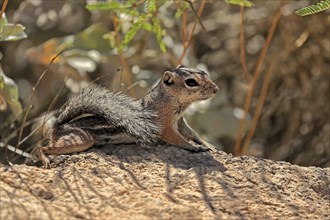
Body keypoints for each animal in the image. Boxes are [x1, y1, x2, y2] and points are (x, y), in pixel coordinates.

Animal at [38, 64, 219, 168]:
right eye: (191, 82)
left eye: (204, 72)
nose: (216, 89)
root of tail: (58, 126)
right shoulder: (165, 126)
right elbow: (178, 139)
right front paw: (195, 147)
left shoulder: (180, 122)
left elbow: (192, 133)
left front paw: (208, 144)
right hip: (79, 140)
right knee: (44, 148)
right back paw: (47, 161)